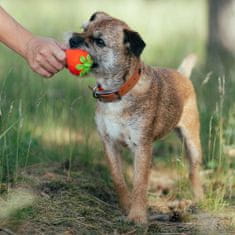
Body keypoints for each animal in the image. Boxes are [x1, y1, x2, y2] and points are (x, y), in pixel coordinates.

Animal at [68, 11, 204, 224]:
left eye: (99, 41)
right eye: (83, 29)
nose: (72, 39)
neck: (117, 92)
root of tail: (181, 75)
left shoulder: (141, 146)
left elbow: (140, 183)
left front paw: (138, 216)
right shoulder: (109, 144)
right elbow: (119, 179)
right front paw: (126, 208)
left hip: (191, 141)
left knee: (194, 170)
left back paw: (198, 199)